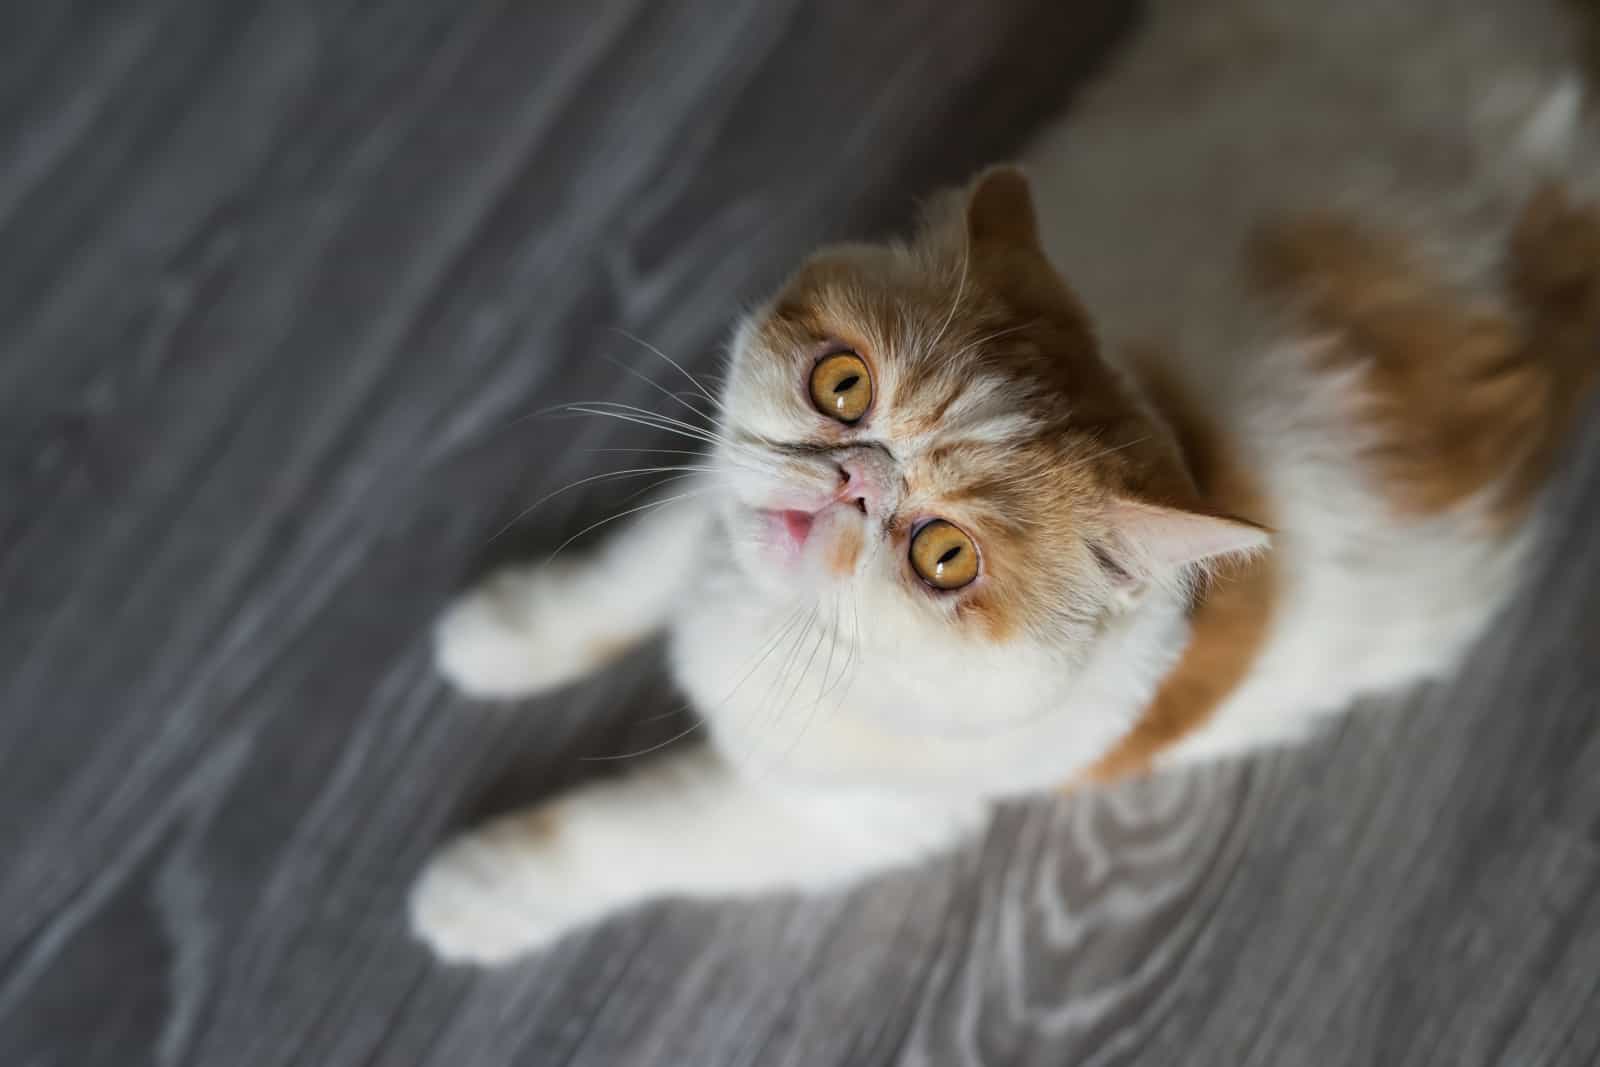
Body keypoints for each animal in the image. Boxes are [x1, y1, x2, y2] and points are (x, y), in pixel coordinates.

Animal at [406, 0, 1593, 966]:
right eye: (843, 386)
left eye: (945, 557)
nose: (858, 479)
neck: (766, 615)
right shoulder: (715, 480)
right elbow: (620, 575)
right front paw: (506, 631)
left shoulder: (831, 820)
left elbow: (628, 831)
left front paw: (477, 890)